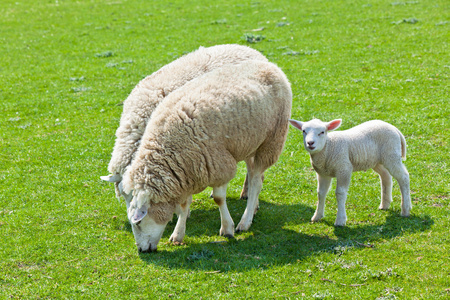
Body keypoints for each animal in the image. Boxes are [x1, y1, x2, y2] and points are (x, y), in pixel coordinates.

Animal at [122, 59, 292, 252]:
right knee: (255, 174)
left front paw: (227, 229)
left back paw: (245, 221)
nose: (141, 250)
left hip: (271, 141)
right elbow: (183, 205)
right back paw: (252, 208)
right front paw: (177, 234)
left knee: (256, 182)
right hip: (249, 142)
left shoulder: (219, 165)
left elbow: (218, 199)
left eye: (138, 223)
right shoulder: (187, 171)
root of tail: (270, 65)